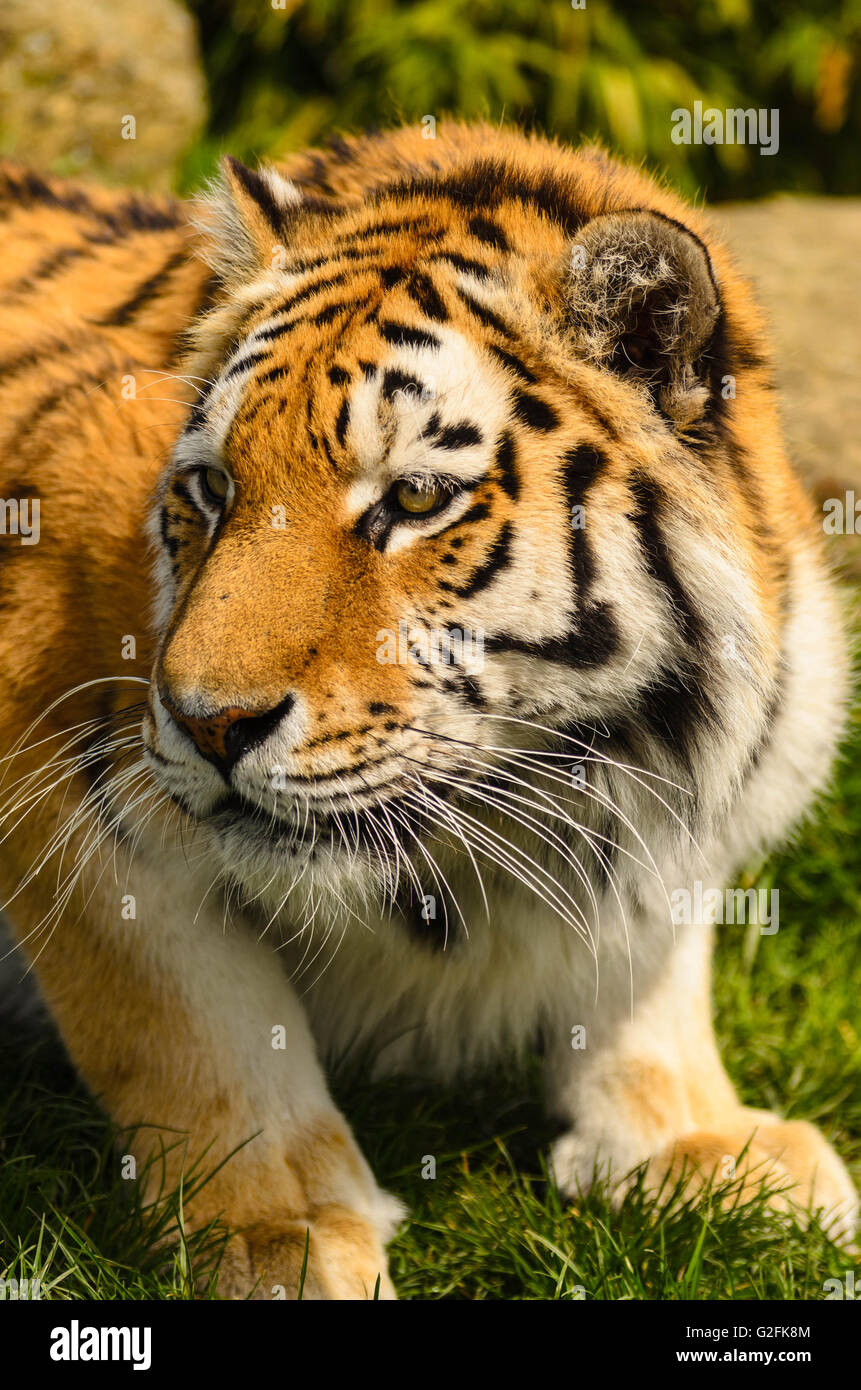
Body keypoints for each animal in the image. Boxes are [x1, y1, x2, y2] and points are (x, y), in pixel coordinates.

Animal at [0, 122, 856, 1301]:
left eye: (412, 499)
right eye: (214, 489)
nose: (210, 723)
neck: (538, 780)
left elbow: (652, 950)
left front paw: (688, 1135)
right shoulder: (66, 747)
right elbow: (186, 1012)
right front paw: (279, 1228)